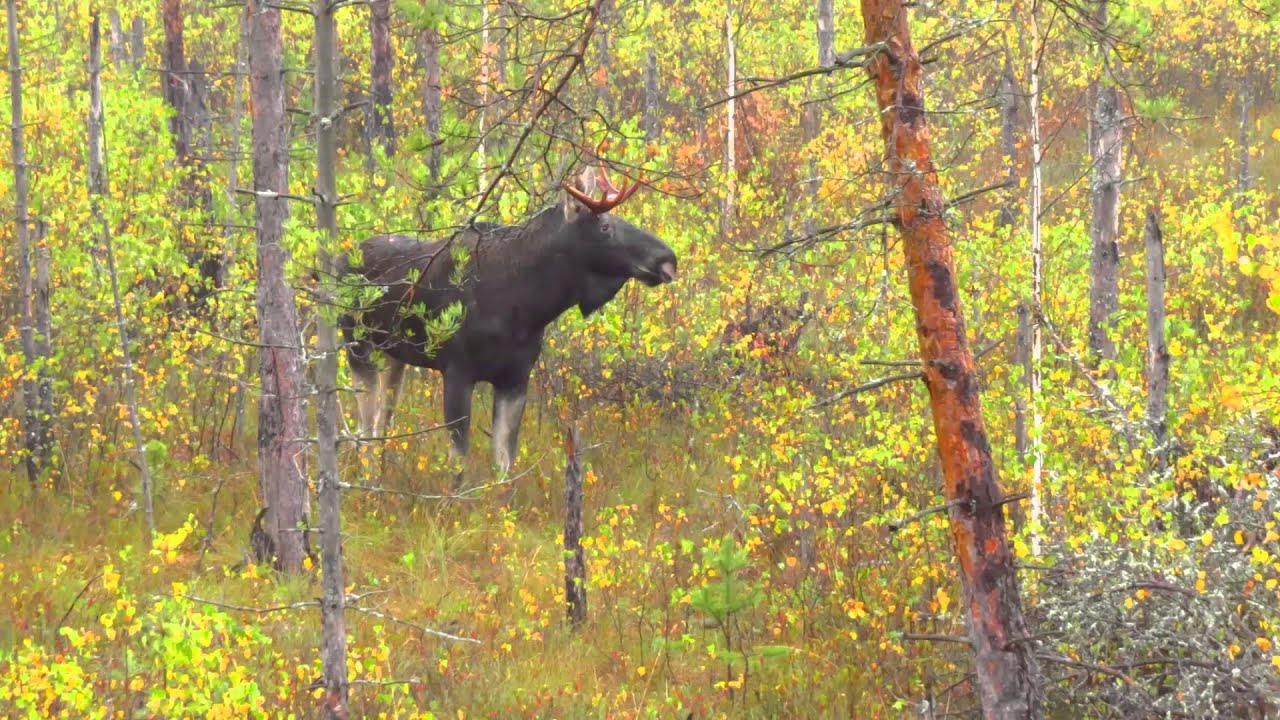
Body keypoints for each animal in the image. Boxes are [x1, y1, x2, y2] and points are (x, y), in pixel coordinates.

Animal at [337, 161, 680, 471]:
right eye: (605, 227)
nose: (668, 258)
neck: (528, 307)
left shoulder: (515, 377)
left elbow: (504, 464)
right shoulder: (457, 370)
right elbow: (458, 463)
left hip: (395, 356)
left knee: (383, 421)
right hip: (358, 347)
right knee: (365, 428)